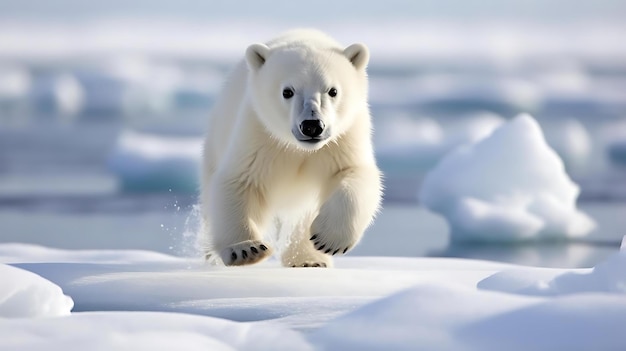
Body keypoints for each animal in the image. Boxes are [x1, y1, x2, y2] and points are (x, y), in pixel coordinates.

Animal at [200, 28, 380, 268]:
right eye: (287, 91)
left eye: (332, 91)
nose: (312, 125)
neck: (299, 149)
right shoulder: (259, 134)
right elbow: (239, 181)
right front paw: (246, 249)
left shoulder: (344, 139)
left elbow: (355, 174)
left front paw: (328, 239)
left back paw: (310, 259)